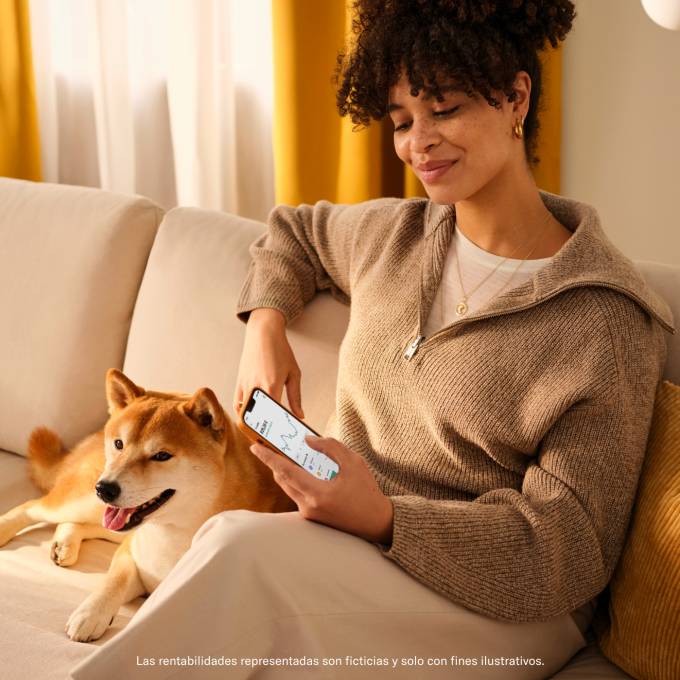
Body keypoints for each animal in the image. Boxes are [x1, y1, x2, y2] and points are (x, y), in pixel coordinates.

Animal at [0, 370, 294, 640]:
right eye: (119, 443)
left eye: (161, 455)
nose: (105, 488)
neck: (173, 533)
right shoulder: (130, 555)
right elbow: (113, 583)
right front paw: (90, 614)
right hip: (85, 501)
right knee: (31, 507)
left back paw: (65, 543)